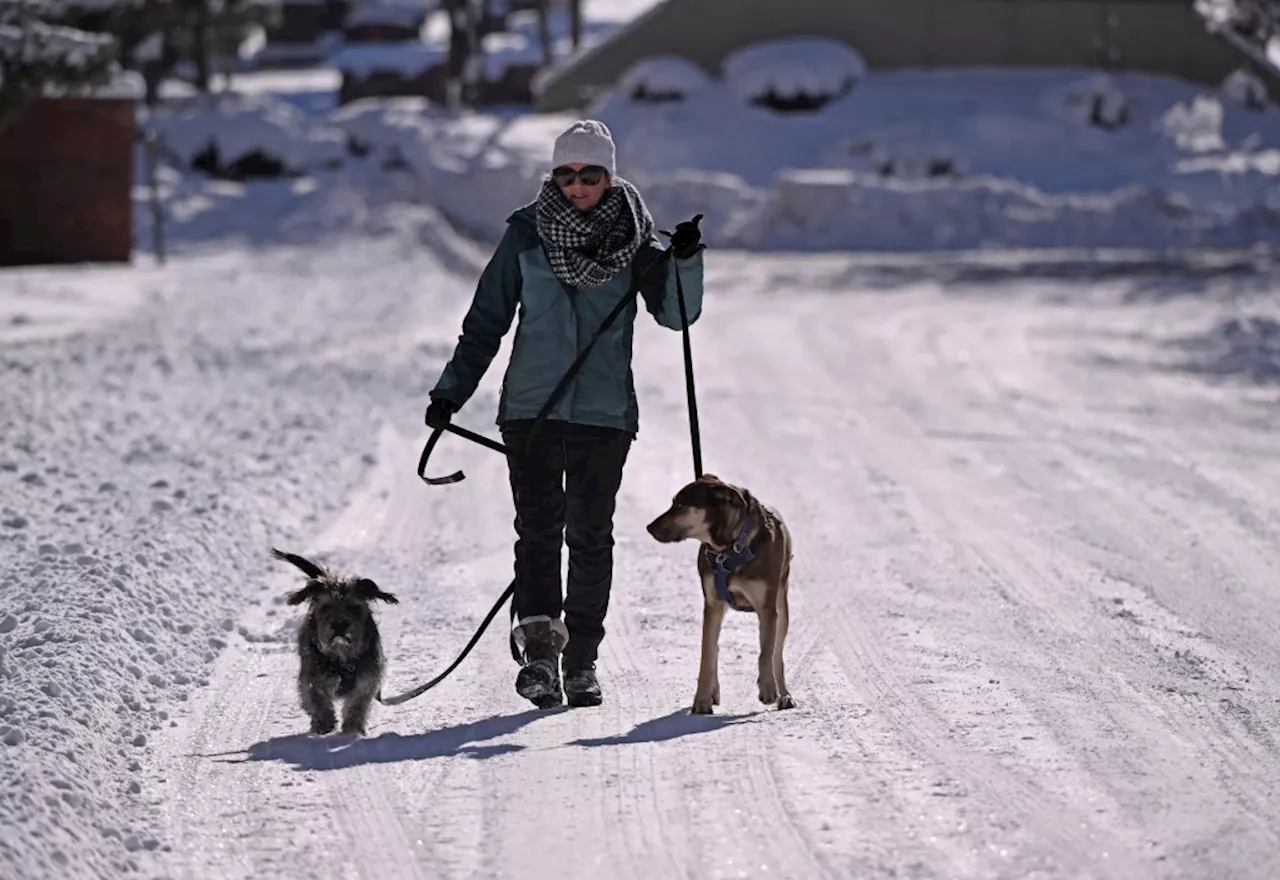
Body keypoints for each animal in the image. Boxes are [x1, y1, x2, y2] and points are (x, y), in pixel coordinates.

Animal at [275, 547, 399, 736]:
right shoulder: (312, 677)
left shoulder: (367, 679)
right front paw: (323, 722)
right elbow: (316, 698)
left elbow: (357, 704)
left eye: (354, 608)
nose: (339, 624)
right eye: (326, 607)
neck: (342, 656)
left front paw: (353, 726)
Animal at [645, 473, 793, 716]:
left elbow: (766, 653)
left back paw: (784, 695)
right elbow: (707, 655)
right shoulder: (713, 604)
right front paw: (702, 700)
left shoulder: (767, 609)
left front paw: (768, 688)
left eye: (679, 505)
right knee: (714, 648)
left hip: (782, 603)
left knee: (776, 652)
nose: (649, 527)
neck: (730, 548)